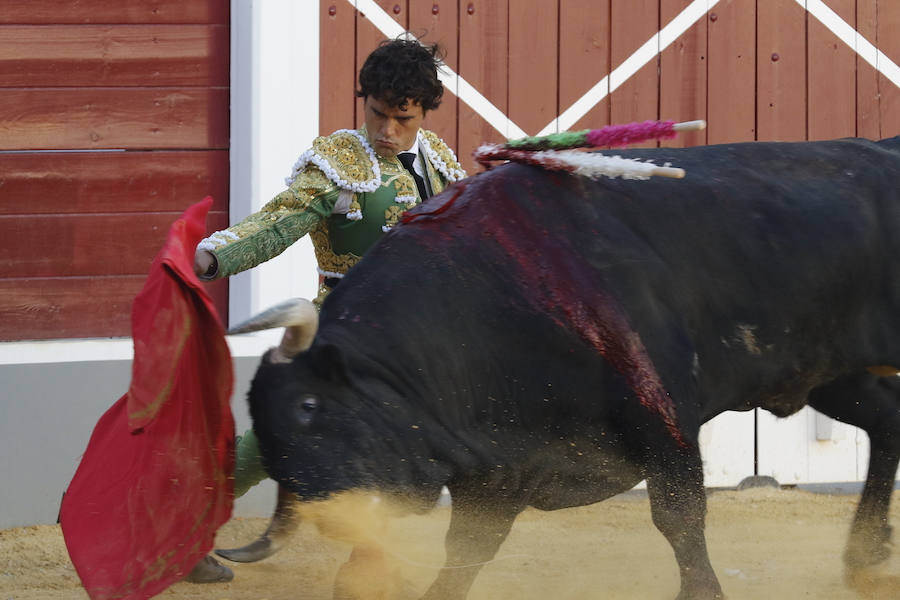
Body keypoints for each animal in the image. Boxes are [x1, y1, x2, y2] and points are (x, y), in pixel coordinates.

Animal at [244, 138, 900, 596]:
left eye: (308, 405)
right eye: (268, 440)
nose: (335, 520)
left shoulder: (662, 419)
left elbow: (680, 519)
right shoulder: (500, 466)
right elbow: (468, 550)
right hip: (831, 374)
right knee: (886, 423)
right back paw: (864, 558)